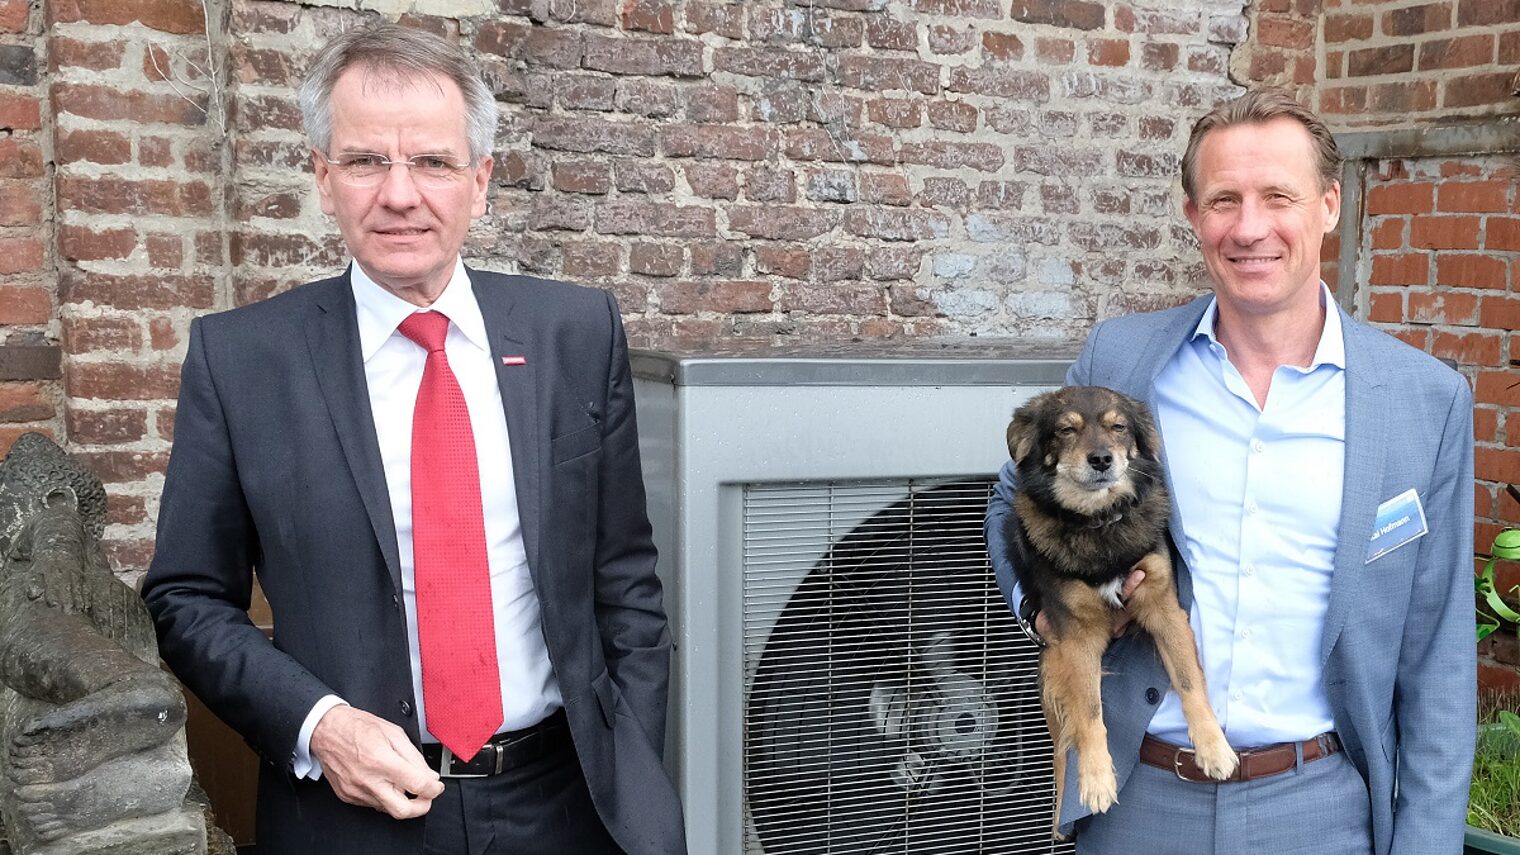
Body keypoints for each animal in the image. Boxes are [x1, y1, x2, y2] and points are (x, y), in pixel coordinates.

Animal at [1003, 386, 1240, 833]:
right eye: (1066, 430)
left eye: (1118, 427)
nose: (1101, 459)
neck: (1099, 523)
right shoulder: (1075, 636)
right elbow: (1090, 712)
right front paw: (1097, 780)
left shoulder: (1163, 607)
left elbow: (1189, 682)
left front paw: (1213, 748)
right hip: (1054, 666)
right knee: (1062, 746)